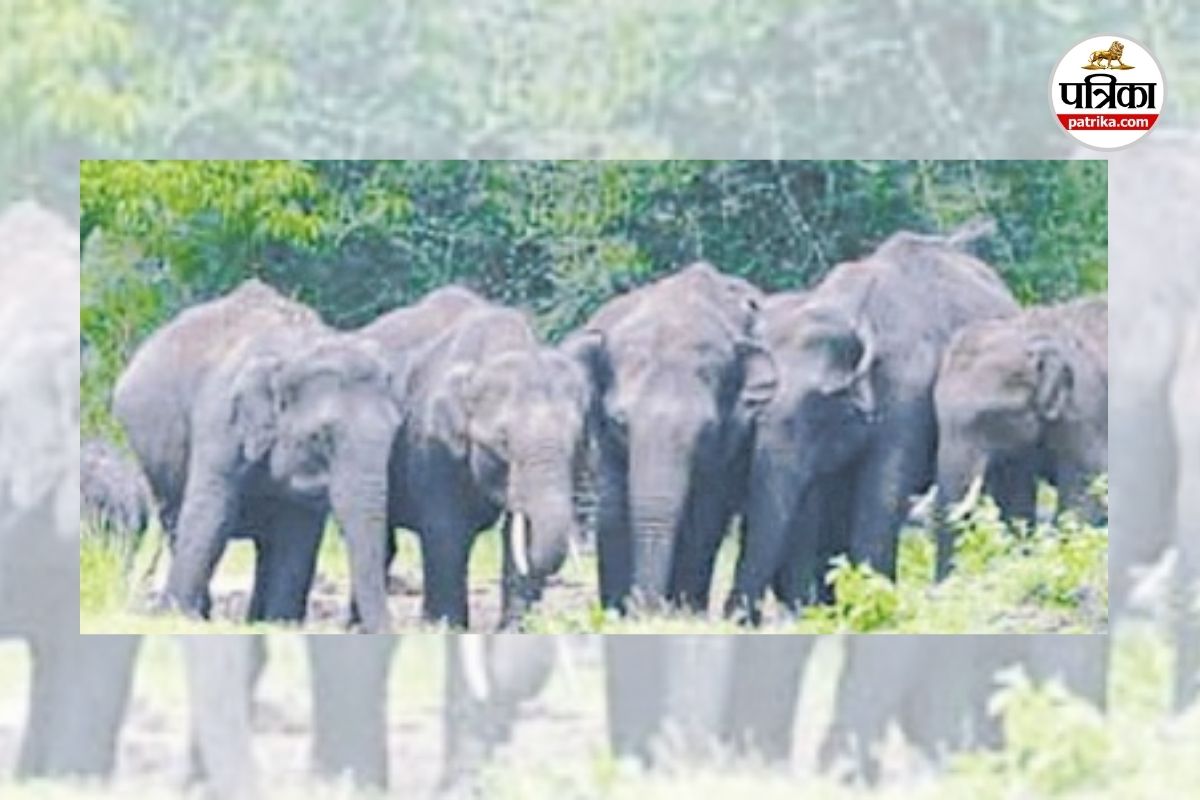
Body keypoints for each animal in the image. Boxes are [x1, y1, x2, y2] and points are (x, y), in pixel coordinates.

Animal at [114, 279, 403, 631]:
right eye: (320, 437)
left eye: (395, 431)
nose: (360, 628)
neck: (294, 353)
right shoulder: (221, 423)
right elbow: (210, 513)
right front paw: (177, 616)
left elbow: (299, 530)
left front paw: (280, 624)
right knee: (175, 519)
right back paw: (204, 612)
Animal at [361, 287, 591, 629]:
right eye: (502, 442)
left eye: (574, 439)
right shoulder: (431, 445)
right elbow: (447, 532)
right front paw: (444, 627)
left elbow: (516, 534)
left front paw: (513, 629)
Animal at [565, 262, 777, 613]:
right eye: (620, 424)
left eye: (706, 430)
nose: (645, 608)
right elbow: (613, 509)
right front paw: (619, 613)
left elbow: (703, 515)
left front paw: (681, 612)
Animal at [727, 223, 1019, 620]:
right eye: (753, 412)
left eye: (818, 403)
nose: (741, 618)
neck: (850, 310)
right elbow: (811, 501)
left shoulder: (906, 396)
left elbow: (881, 492)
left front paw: (872, 605)